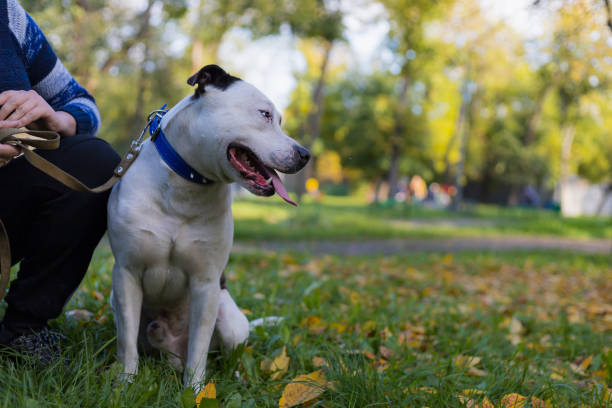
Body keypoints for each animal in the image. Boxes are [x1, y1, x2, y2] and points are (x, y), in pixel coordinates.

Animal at [106, 64, 310, 388]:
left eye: (279, 120)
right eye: (264, 114)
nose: (304, 154)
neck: (186, 183)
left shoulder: (206, 283)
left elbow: (199, 349)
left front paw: (196, 390)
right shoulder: (127, 274)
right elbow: (126, 343)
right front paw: (124, 383)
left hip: (230, 321)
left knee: (224, 354)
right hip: (117, 301)